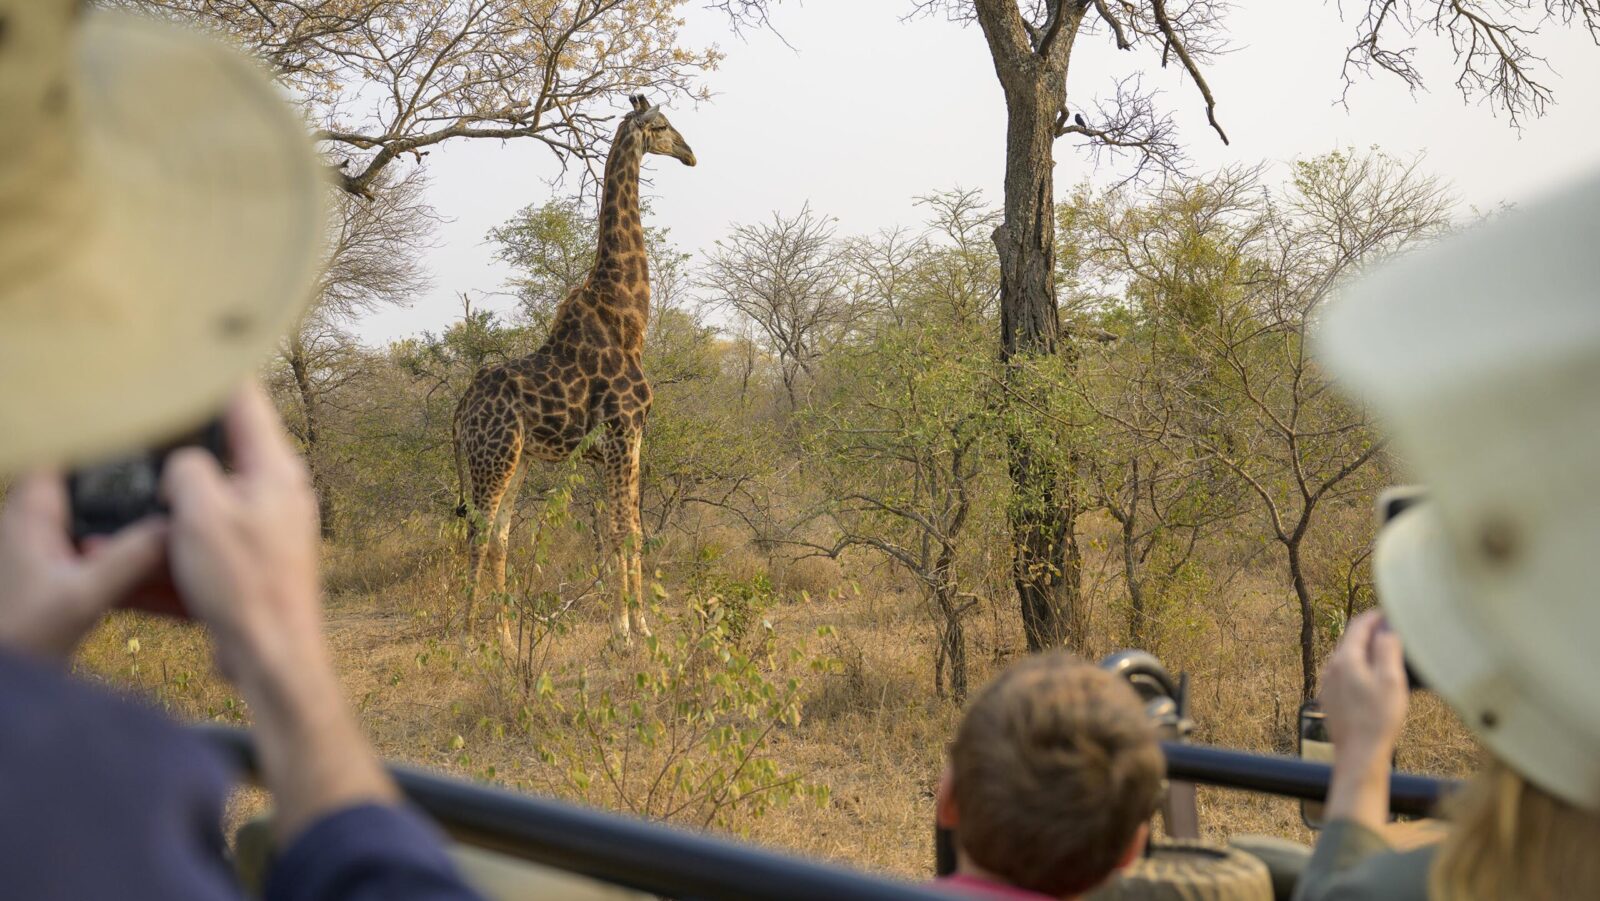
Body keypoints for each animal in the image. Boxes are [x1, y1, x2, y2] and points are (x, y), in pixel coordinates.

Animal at [454, 96, 697, 649]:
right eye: (661, 126)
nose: (690, 153)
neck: (628, 316)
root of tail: (460, 411)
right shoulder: (622, 430)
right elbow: (621, 531)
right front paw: (623, 631)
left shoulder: (631, 438)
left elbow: (633, 529)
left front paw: (642, 625)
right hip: (491, 456)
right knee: (477, 533)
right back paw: (467, 638)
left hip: (517, 459)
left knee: (499, 536)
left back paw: (504, 639)